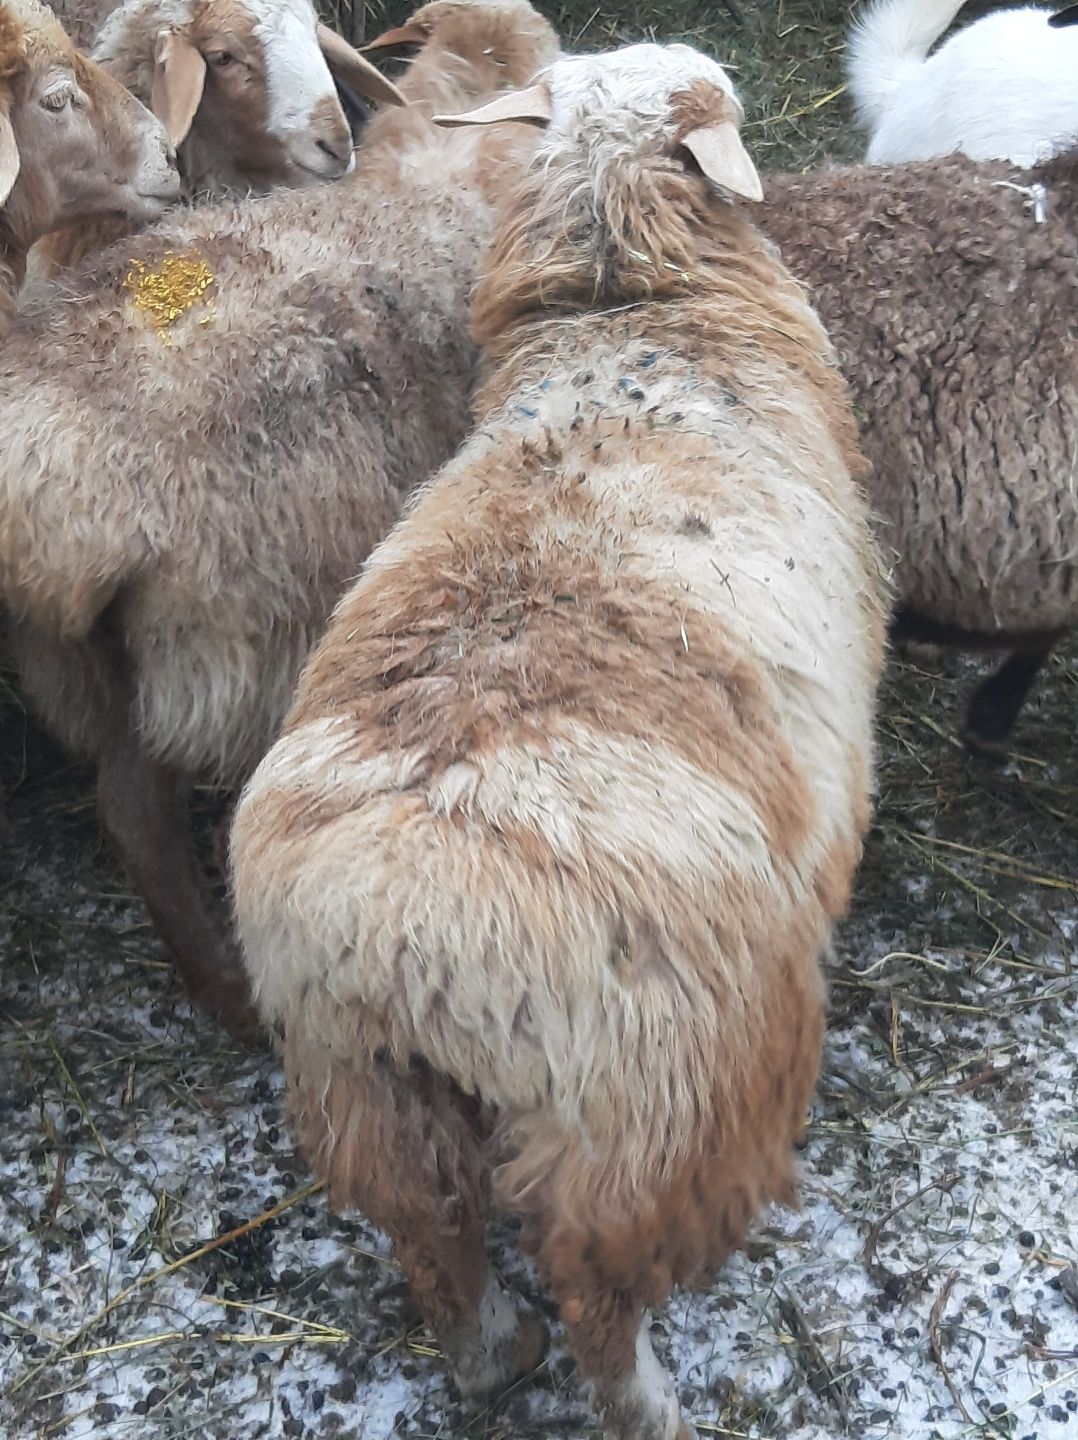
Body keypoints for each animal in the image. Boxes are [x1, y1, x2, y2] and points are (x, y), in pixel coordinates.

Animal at [231, 36, 886, 1440]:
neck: (626, 313)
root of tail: (405, 937)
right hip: (653, 1110)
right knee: (598, 1285)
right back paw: (646, 1401)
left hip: (362, 1085)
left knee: (436, 1237)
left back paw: (490, 1357)